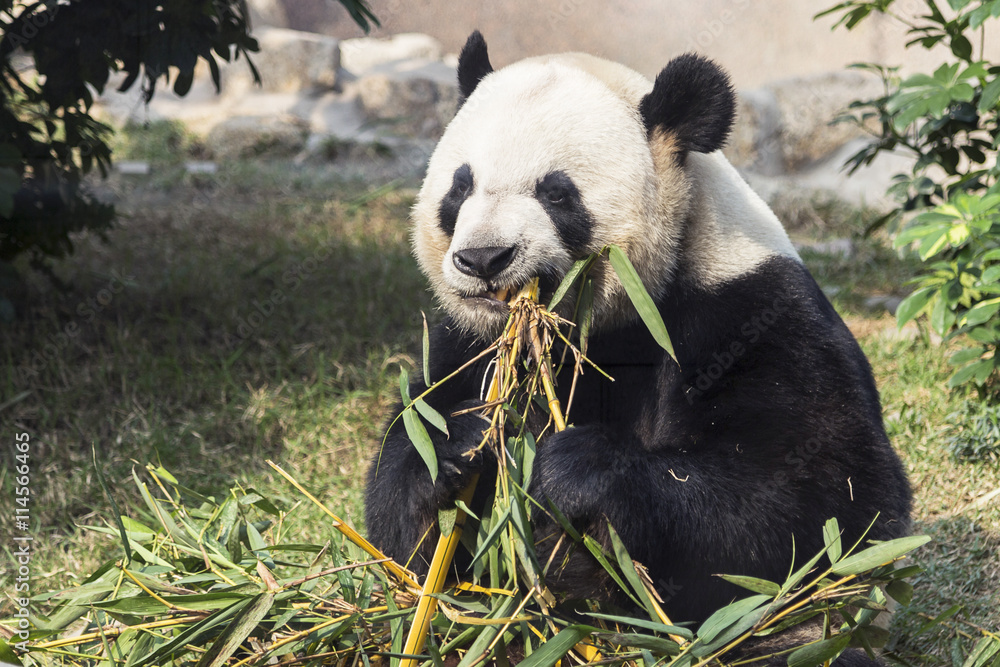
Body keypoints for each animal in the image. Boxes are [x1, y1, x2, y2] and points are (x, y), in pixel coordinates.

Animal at [365, 31, 912, 663]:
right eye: (460, 187)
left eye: (557, 193)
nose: (483, 259)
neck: (599, 324)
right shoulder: (464, 344)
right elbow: (407, 527)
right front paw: (463, 440)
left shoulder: (748, 310)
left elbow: (828, 495)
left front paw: (579, 469)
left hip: (794, 636)